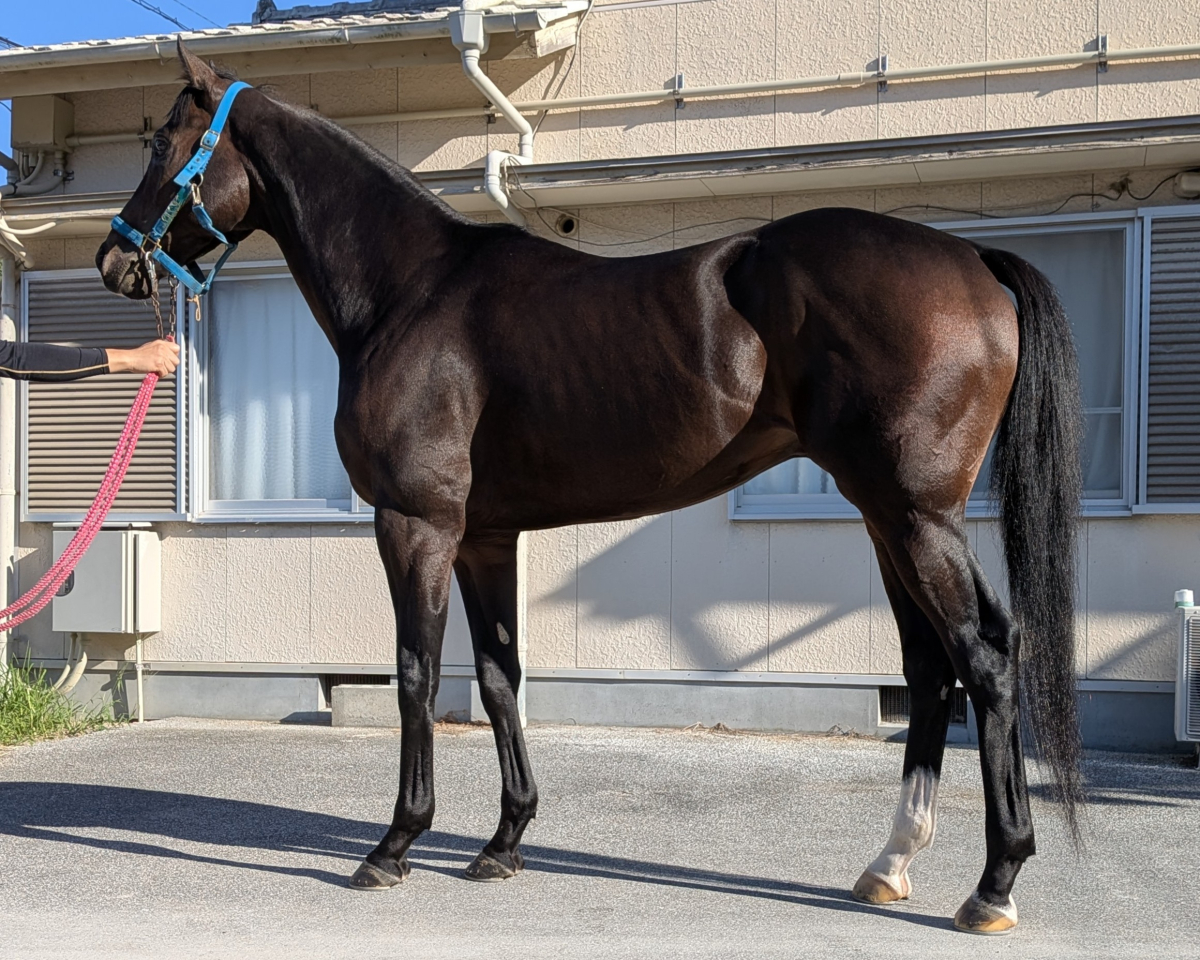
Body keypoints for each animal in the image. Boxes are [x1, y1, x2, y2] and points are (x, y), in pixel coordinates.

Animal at [96, 41, 1084, 935]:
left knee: (985, 658)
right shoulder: (485, 537)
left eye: (162, 143)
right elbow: (500, 676)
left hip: (917, 516)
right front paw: (503, 843)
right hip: (887, 517)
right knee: (930, 670)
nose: (114, 259)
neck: (409, 292)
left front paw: (395, 846)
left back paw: (993, 884)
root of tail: (973, 258)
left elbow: (417, 674)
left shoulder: (416, 524)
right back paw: (890, 864)